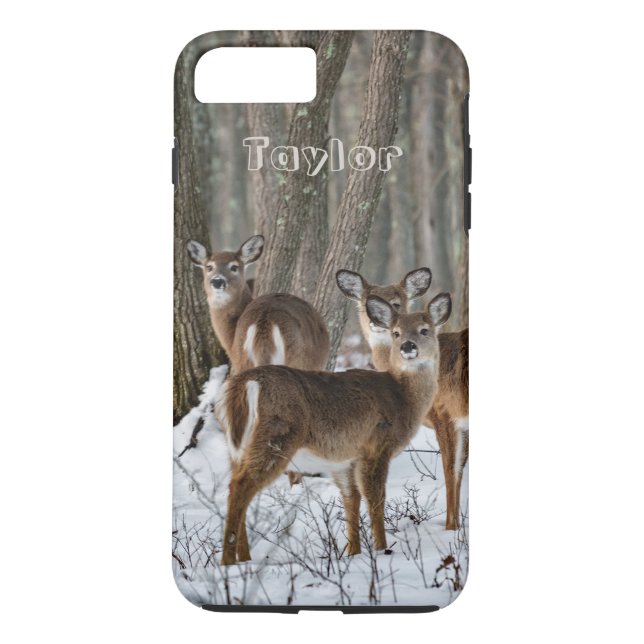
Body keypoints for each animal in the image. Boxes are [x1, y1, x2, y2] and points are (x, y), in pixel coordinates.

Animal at [214, 289, 452, 565]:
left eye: (425, 330)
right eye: (396, 332)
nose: (407, 346)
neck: (402, 396)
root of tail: (244, 384)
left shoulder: (344, 460)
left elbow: (352, 500)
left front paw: (353, 553)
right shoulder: (376, 445)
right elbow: (375, 500)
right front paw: (381, 549)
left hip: (236, 446)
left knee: (235, 486)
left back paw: (244, 558)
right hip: (277, 435)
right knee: (239, 486)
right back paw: (229, 561)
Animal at [336, 269, 468, 531]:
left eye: (397, 302)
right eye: (364, 303)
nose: (376, 322)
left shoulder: (444, 413)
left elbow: (451, 468)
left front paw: (450, 526)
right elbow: (459, 466)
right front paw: (456, 525)